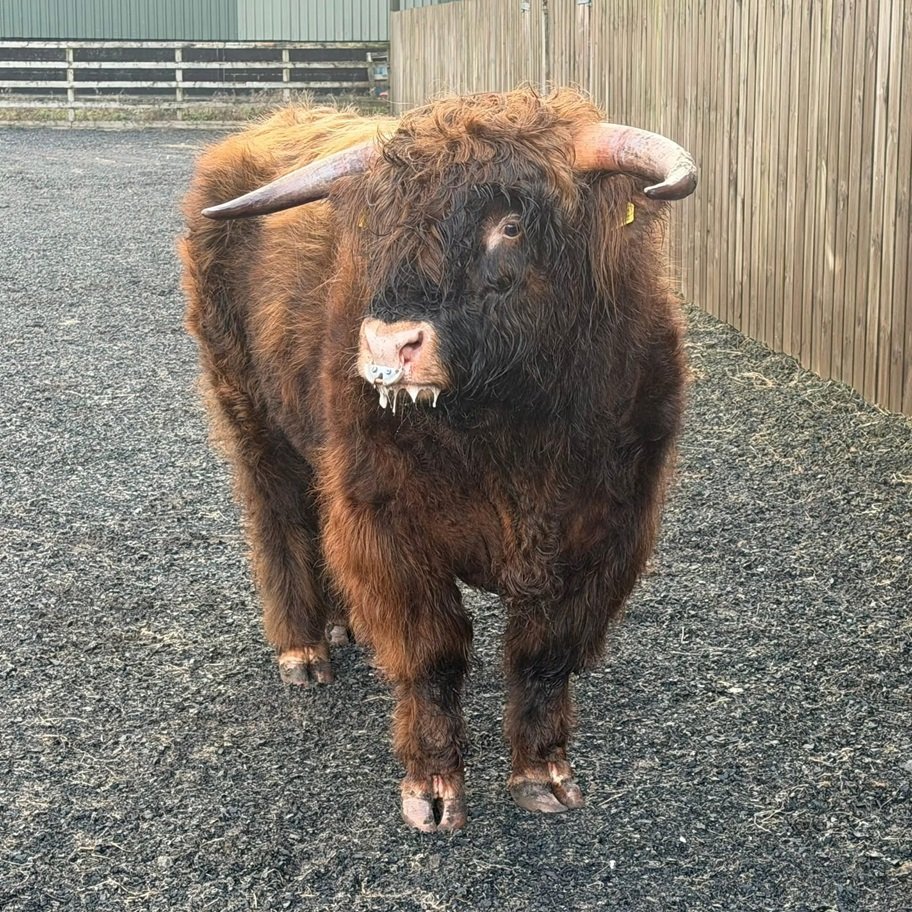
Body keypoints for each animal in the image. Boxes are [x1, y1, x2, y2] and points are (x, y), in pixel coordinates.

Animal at [179, 88, 696, 833]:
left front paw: (543, 775)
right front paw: (432, 789)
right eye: (382, 228)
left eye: (511, 223)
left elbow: (546, 653)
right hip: (251, 415)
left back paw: (342, 626)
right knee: (279, 518)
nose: (387, 345)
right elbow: (431, 651)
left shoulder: (608, 527)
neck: (513, 429)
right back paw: (303, 650)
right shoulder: (387, 522)